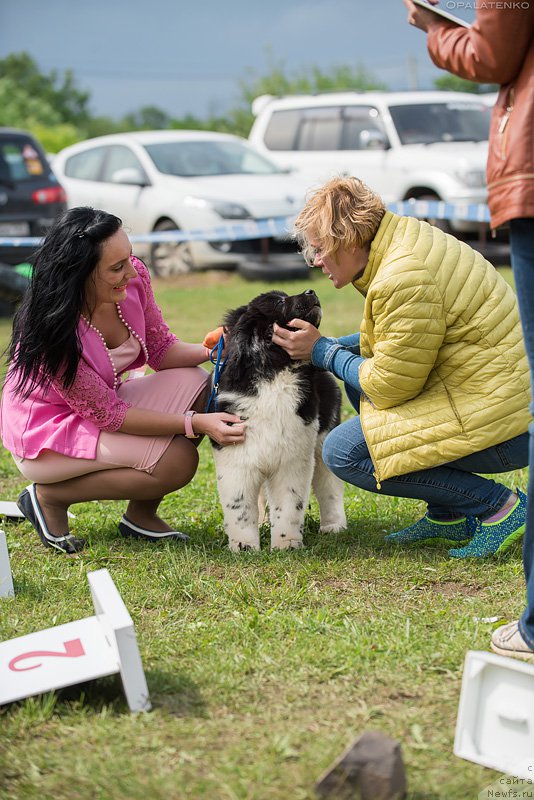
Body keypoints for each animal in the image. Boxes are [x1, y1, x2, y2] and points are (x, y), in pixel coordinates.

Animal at [211, 290, 350, 552]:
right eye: (279, 301)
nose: (311, 291)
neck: (275, 371)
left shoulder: (293, 458)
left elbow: (288, 505)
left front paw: (287, 544)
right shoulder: (236, 455)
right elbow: (240, 507)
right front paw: (244, 547)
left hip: (323, 439)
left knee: (330, 485)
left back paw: (333, 525)